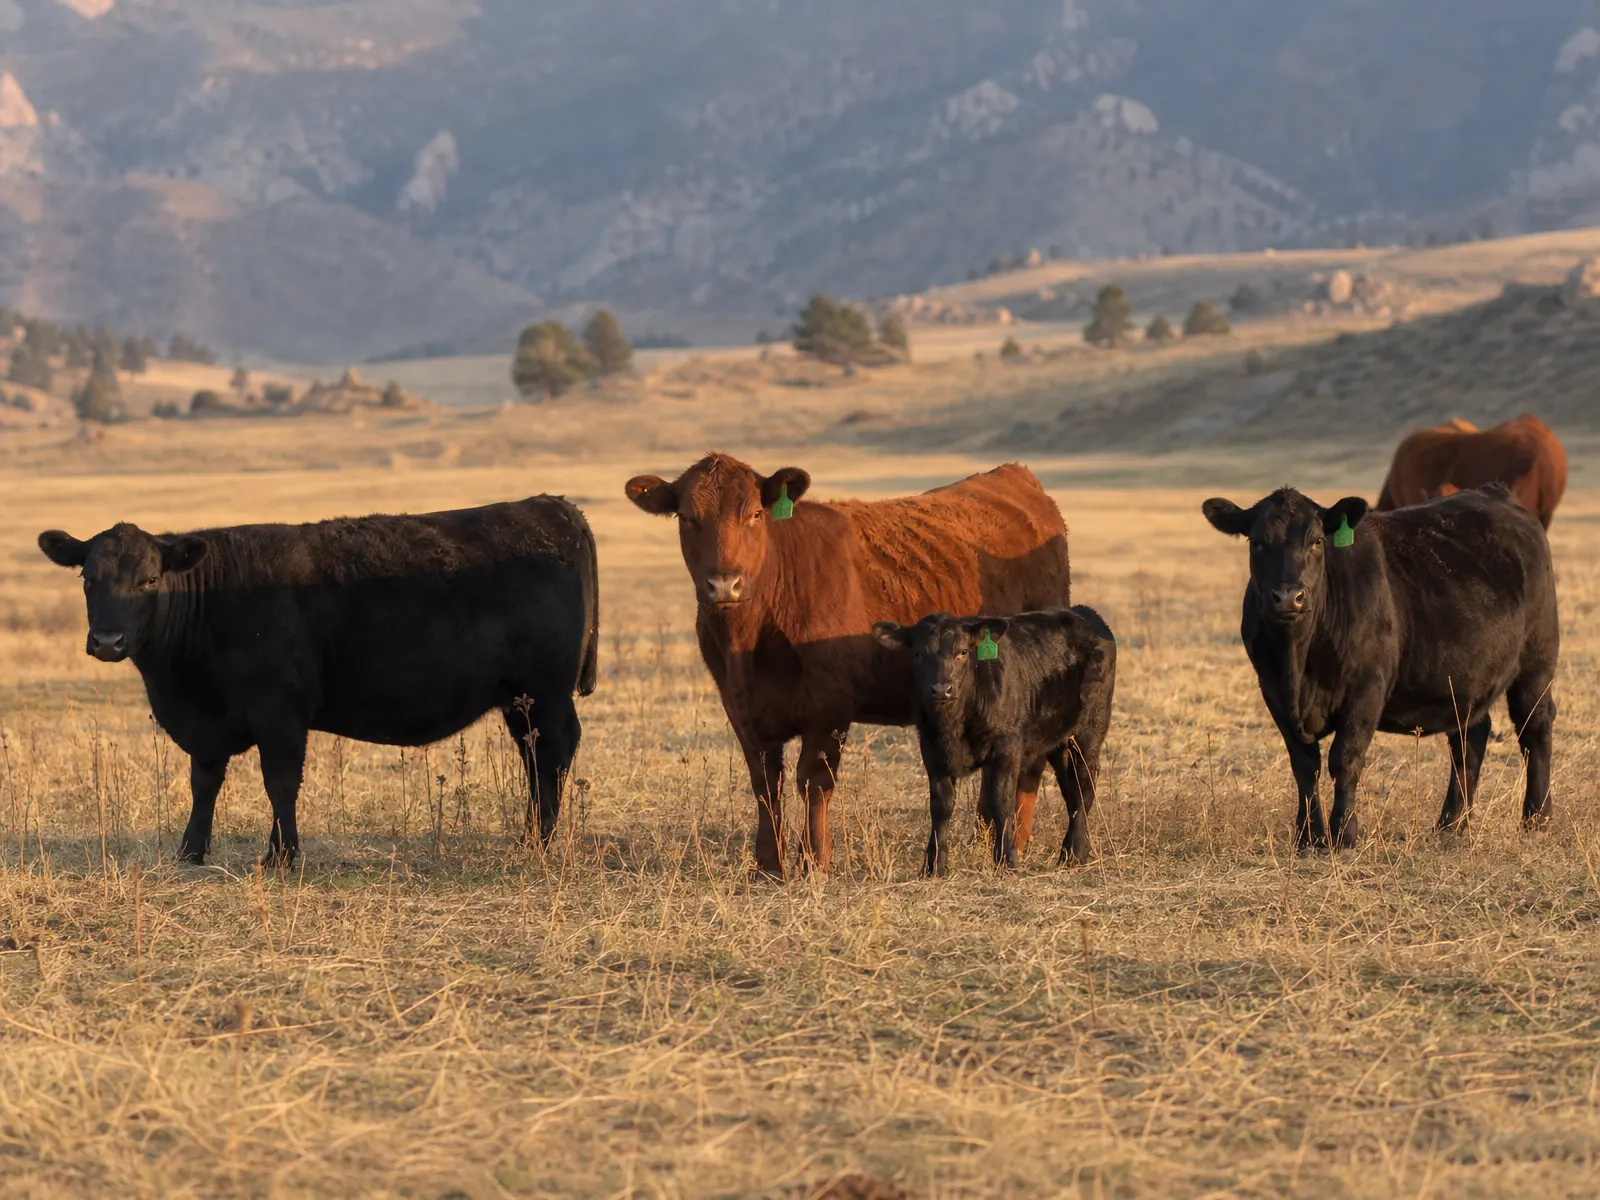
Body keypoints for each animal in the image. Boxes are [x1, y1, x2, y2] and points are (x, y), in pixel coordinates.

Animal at [37, 497, 599, 867]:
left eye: (150, 580)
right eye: (88, 578)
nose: (107, 640)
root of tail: (552, 507)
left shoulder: (280, 712)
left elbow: (280, 783)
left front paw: (282, 856)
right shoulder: (207, 724)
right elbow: (204, 782)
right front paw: (190, 851)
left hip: (546, 692)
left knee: (554, 754)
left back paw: (539, 841)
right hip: (518, 699)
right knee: (535, 758)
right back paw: (531, 836)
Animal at [624, 454, 1071, 877]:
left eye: (754, 514)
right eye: (687, 517)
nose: (724, 584)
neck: (748, 641)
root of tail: (1015, 476)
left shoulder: (829, 707)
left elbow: (814, 782)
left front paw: (814, 863)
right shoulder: (741, 708)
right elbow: (766, 784)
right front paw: (767, 866)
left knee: (1031, 766)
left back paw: (1017, 839)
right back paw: (984, 837)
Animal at [872, 606, 1116, 875]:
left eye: (963, 652)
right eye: (917, 653)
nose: (942, 688)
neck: (954, 723)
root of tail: (1084, 613)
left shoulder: (1006, 747)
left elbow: (1001, 801)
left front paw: (1006, 859)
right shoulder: (931, 748)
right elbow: (941, 806)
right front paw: (934, 866)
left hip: (1089, 732)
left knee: (1084, 786)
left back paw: (1075, 853)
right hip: (1058, 741)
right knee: (1071, 789)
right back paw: (1072, 852)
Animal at [1202, 484, 1557, 853]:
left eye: (1317, 541)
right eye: (1257, 542)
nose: (1288, 597)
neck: (1297, 664)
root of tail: (1495, 493)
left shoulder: (1366, 688)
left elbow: (1344, 759)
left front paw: (1343, 834)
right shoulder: (1272, 691)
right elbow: (1304, 766)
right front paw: (1308, 836)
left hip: (1536, 662)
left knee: (1534, 728)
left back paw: (1537, 819)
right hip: (1466, 679)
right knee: (1469, 739)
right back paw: (1451, 824)